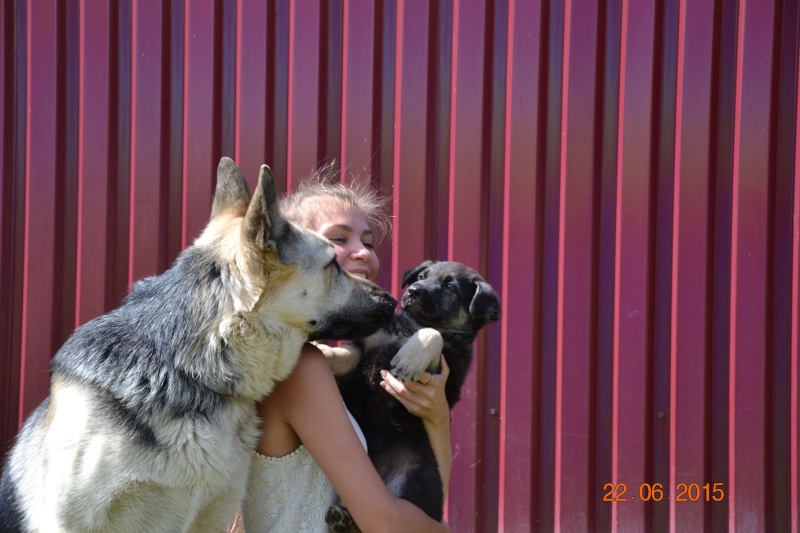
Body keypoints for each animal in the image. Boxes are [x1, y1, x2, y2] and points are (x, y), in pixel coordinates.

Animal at [324, 258, 500, 528]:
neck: (410, 327)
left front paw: (409, 357)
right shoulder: (367, 348)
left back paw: (344, 521)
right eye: (422, 276)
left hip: (414, 476)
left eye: (450, 287)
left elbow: (434, 333)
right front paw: (322, 352)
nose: (413, 291)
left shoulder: (446, 372)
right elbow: (346, 354)